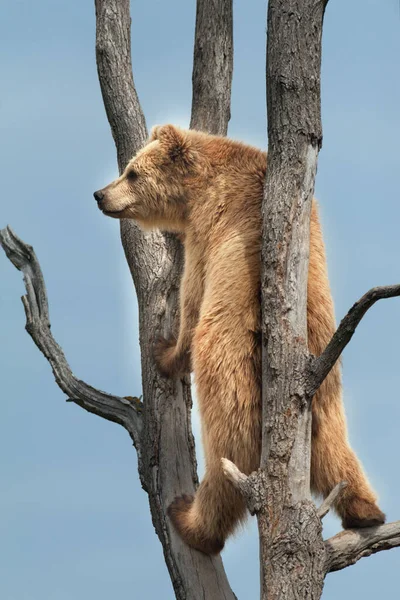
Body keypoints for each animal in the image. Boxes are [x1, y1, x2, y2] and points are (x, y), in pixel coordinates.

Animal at [94, 124, 384, 556]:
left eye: (132, 172)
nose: (100, 194)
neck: (201, 187)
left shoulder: (208, 233)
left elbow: (192, 298)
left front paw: (164, 350)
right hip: (324, 373)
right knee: (334, 447)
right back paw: (366, 511)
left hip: (229, 366)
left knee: (226, 450)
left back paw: (192, 520)